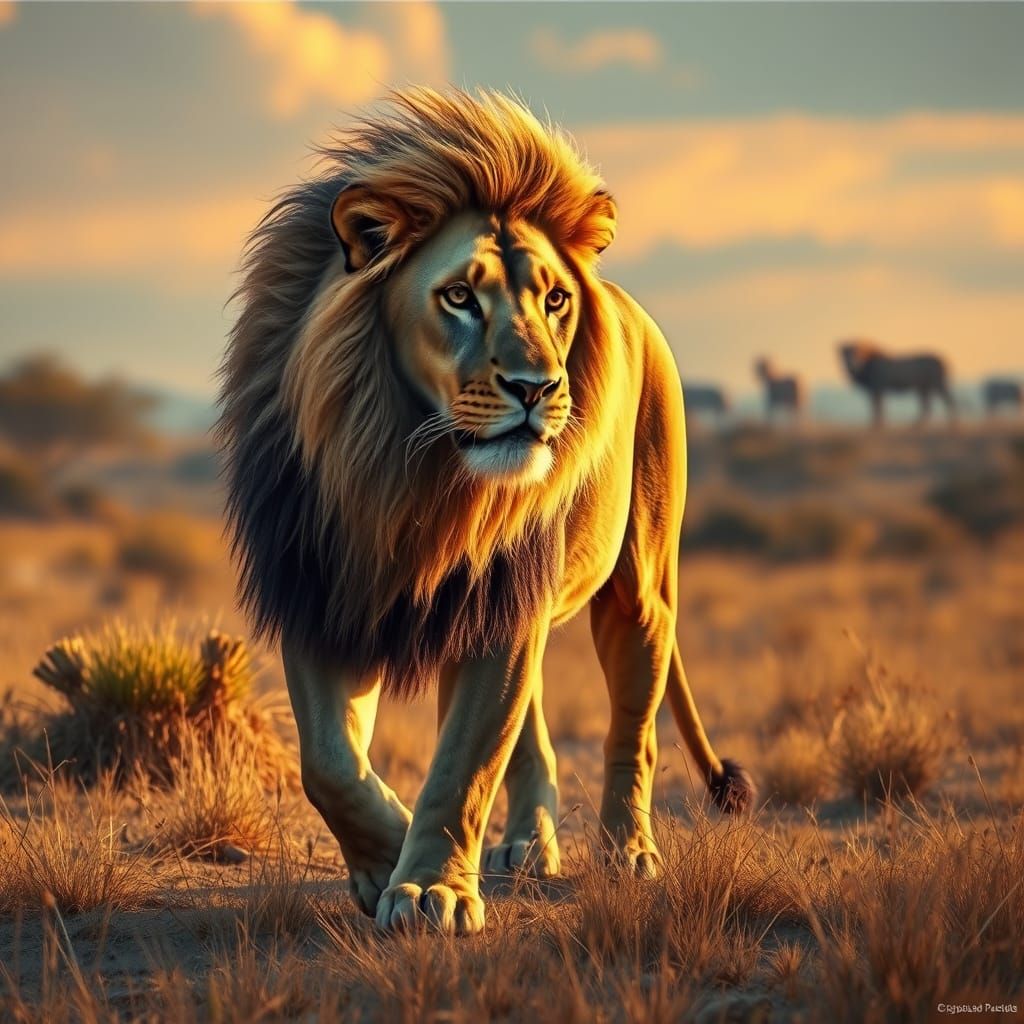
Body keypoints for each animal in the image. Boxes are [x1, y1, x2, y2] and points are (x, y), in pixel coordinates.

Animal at [218, 88, 754, 936]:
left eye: (555, 300)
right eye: (460, 296)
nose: (538, 388)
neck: (408, 472)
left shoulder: (499, 606)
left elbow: (464, 764)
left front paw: (429, 887)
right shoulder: (321, 589)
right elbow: (330, 764)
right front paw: (385, 861)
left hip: (637, 586)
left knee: (631, 728)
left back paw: (628, 851)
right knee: (533, 734)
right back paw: (528, 844)